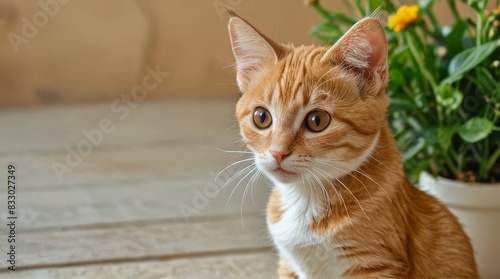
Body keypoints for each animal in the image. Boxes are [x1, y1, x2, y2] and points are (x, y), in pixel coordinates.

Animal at [229, 10, 478, 278]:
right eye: (261, 117)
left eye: (317, 120)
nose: (277, 153)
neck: (306, 197)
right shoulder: (288, 265)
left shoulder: (377, 264)